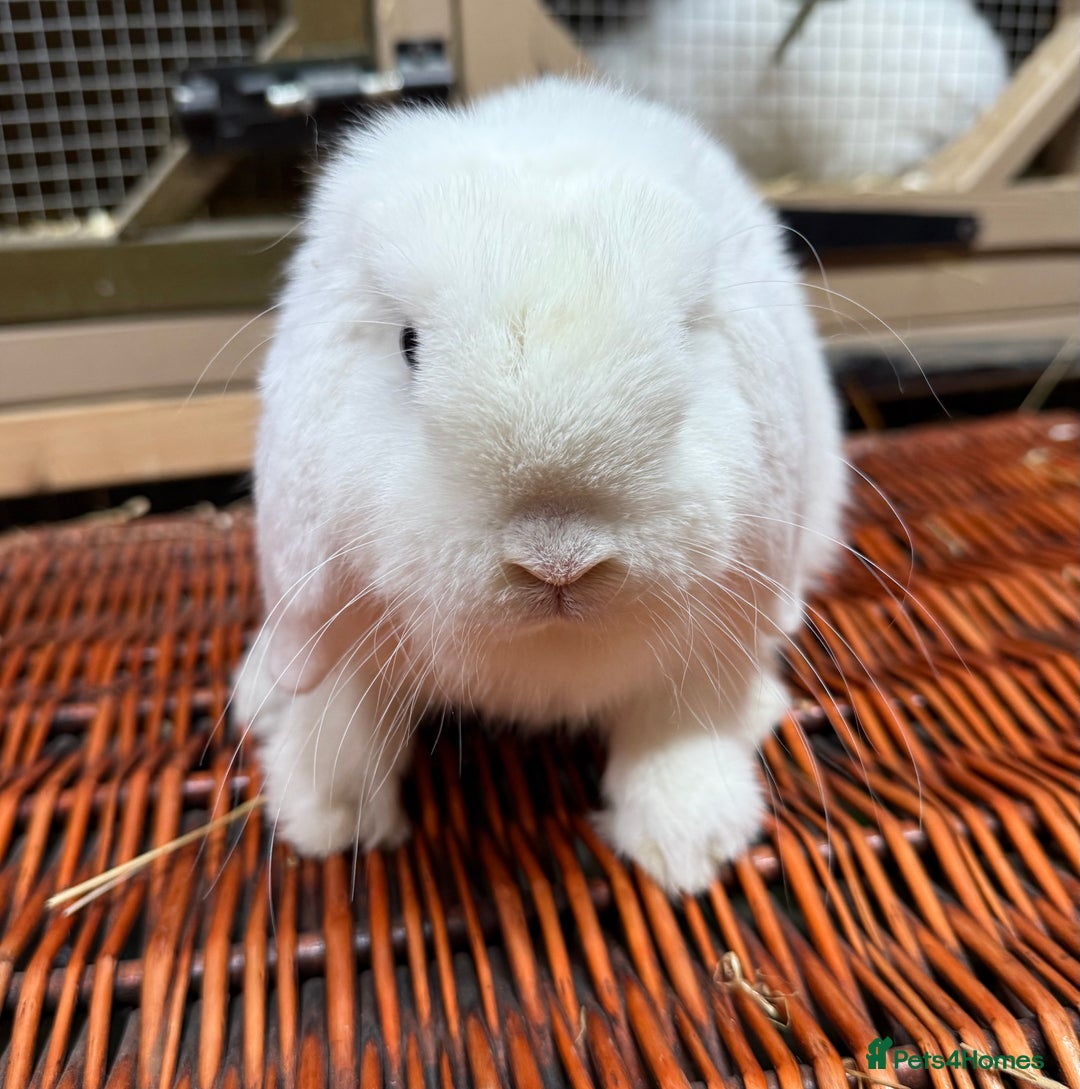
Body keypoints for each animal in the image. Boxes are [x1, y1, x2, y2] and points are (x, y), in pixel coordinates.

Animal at [233, 77, 847, 894]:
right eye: (408, 345)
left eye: (687, 335)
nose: (559, 560)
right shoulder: (343, 611)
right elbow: (344, 716)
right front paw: (324, 816)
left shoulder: (715, 627)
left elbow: (677, 723)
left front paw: (687, 844)